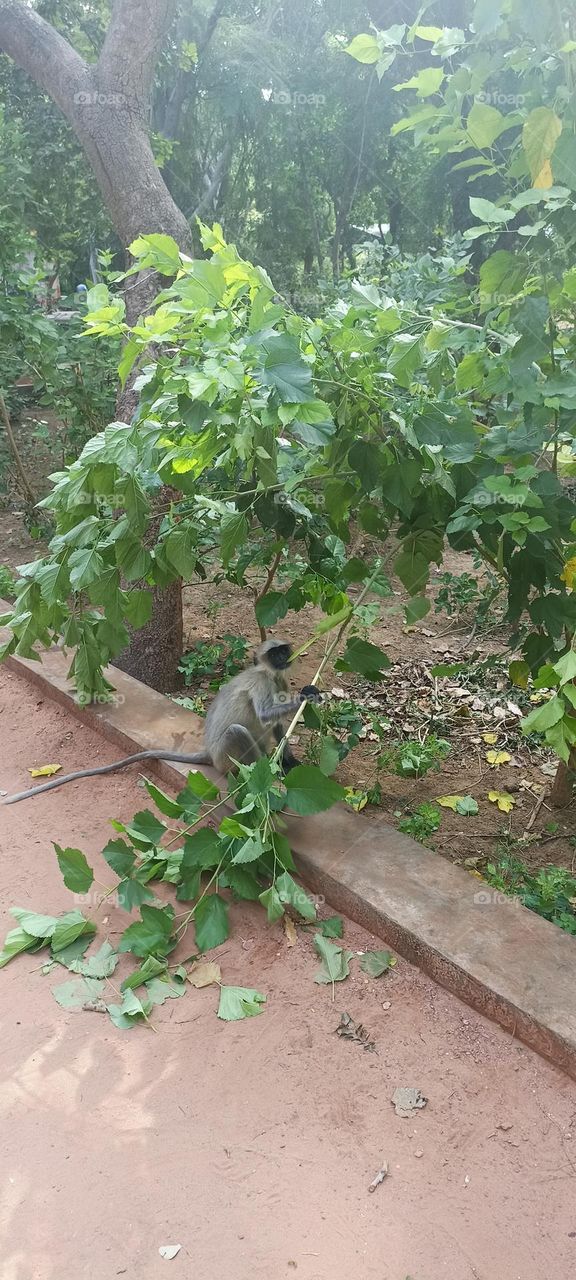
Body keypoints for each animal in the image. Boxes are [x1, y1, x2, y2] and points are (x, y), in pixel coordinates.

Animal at [3, 638, 322, 804]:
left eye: (284, 650)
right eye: (276, 653)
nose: (287, 655)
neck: (272, 675)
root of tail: (209, 753)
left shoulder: (280, 682)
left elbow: (277, 725)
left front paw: (290, 761)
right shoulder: (261, 682)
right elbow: (266, 714)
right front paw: (307, 695)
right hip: (225, 755)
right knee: (237, 731)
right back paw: (259, 776)